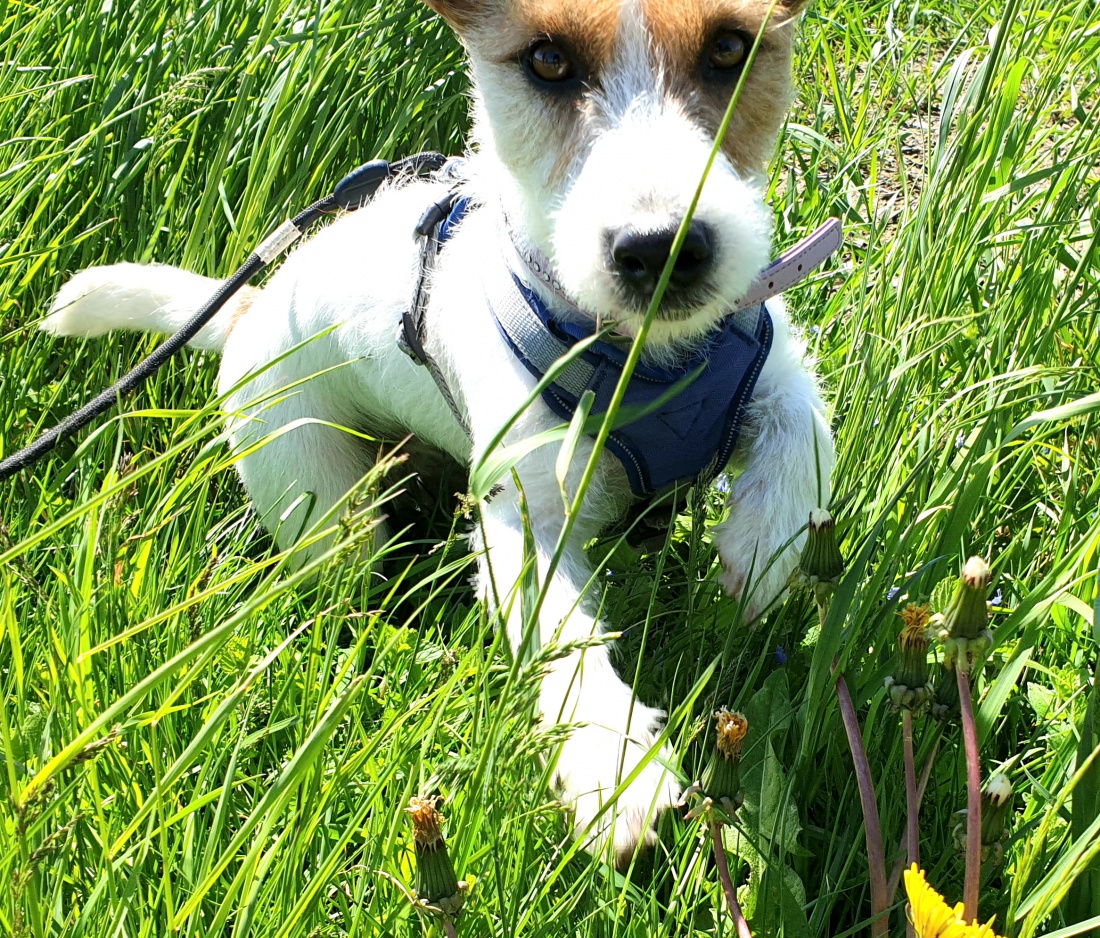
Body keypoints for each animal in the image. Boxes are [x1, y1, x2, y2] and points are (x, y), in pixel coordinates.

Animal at [40, 0, 831, 862]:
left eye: (729, 47)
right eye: (547, 61)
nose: (661, 249)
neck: (639, 356)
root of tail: (250, 309)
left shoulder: (770, 363)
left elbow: (803, 431)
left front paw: (762, 549)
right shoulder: (527, 518)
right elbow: (564, 641)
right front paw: (612, 764)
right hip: (329, 511)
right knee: (347, 576)